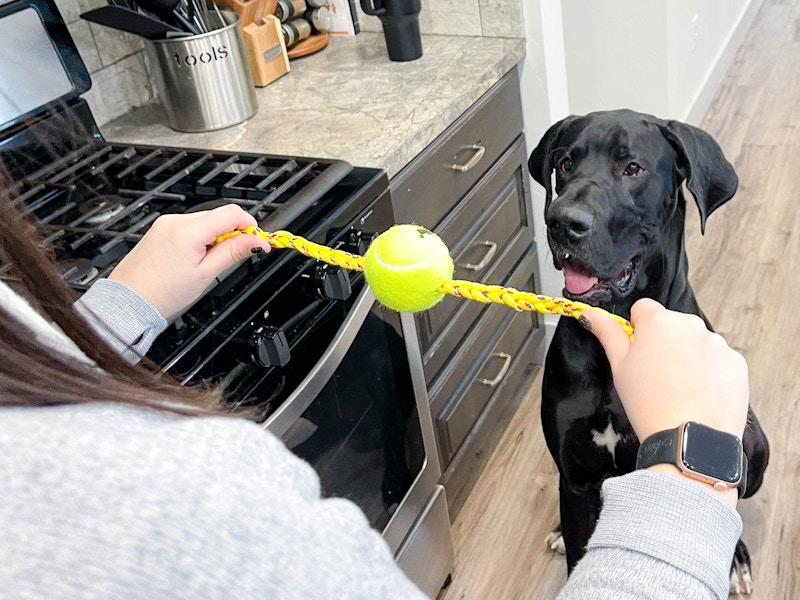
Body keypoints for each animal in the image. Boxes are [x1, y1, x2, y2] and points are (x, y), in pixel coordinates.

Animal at [532, 110, 768, 592]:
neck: (612, 335)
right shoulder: (575, 478)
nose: (562, 222)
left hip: (755, 446)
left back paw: (735, 559)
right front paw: (568, 537)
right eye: (565, 164)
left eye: (633, 168)